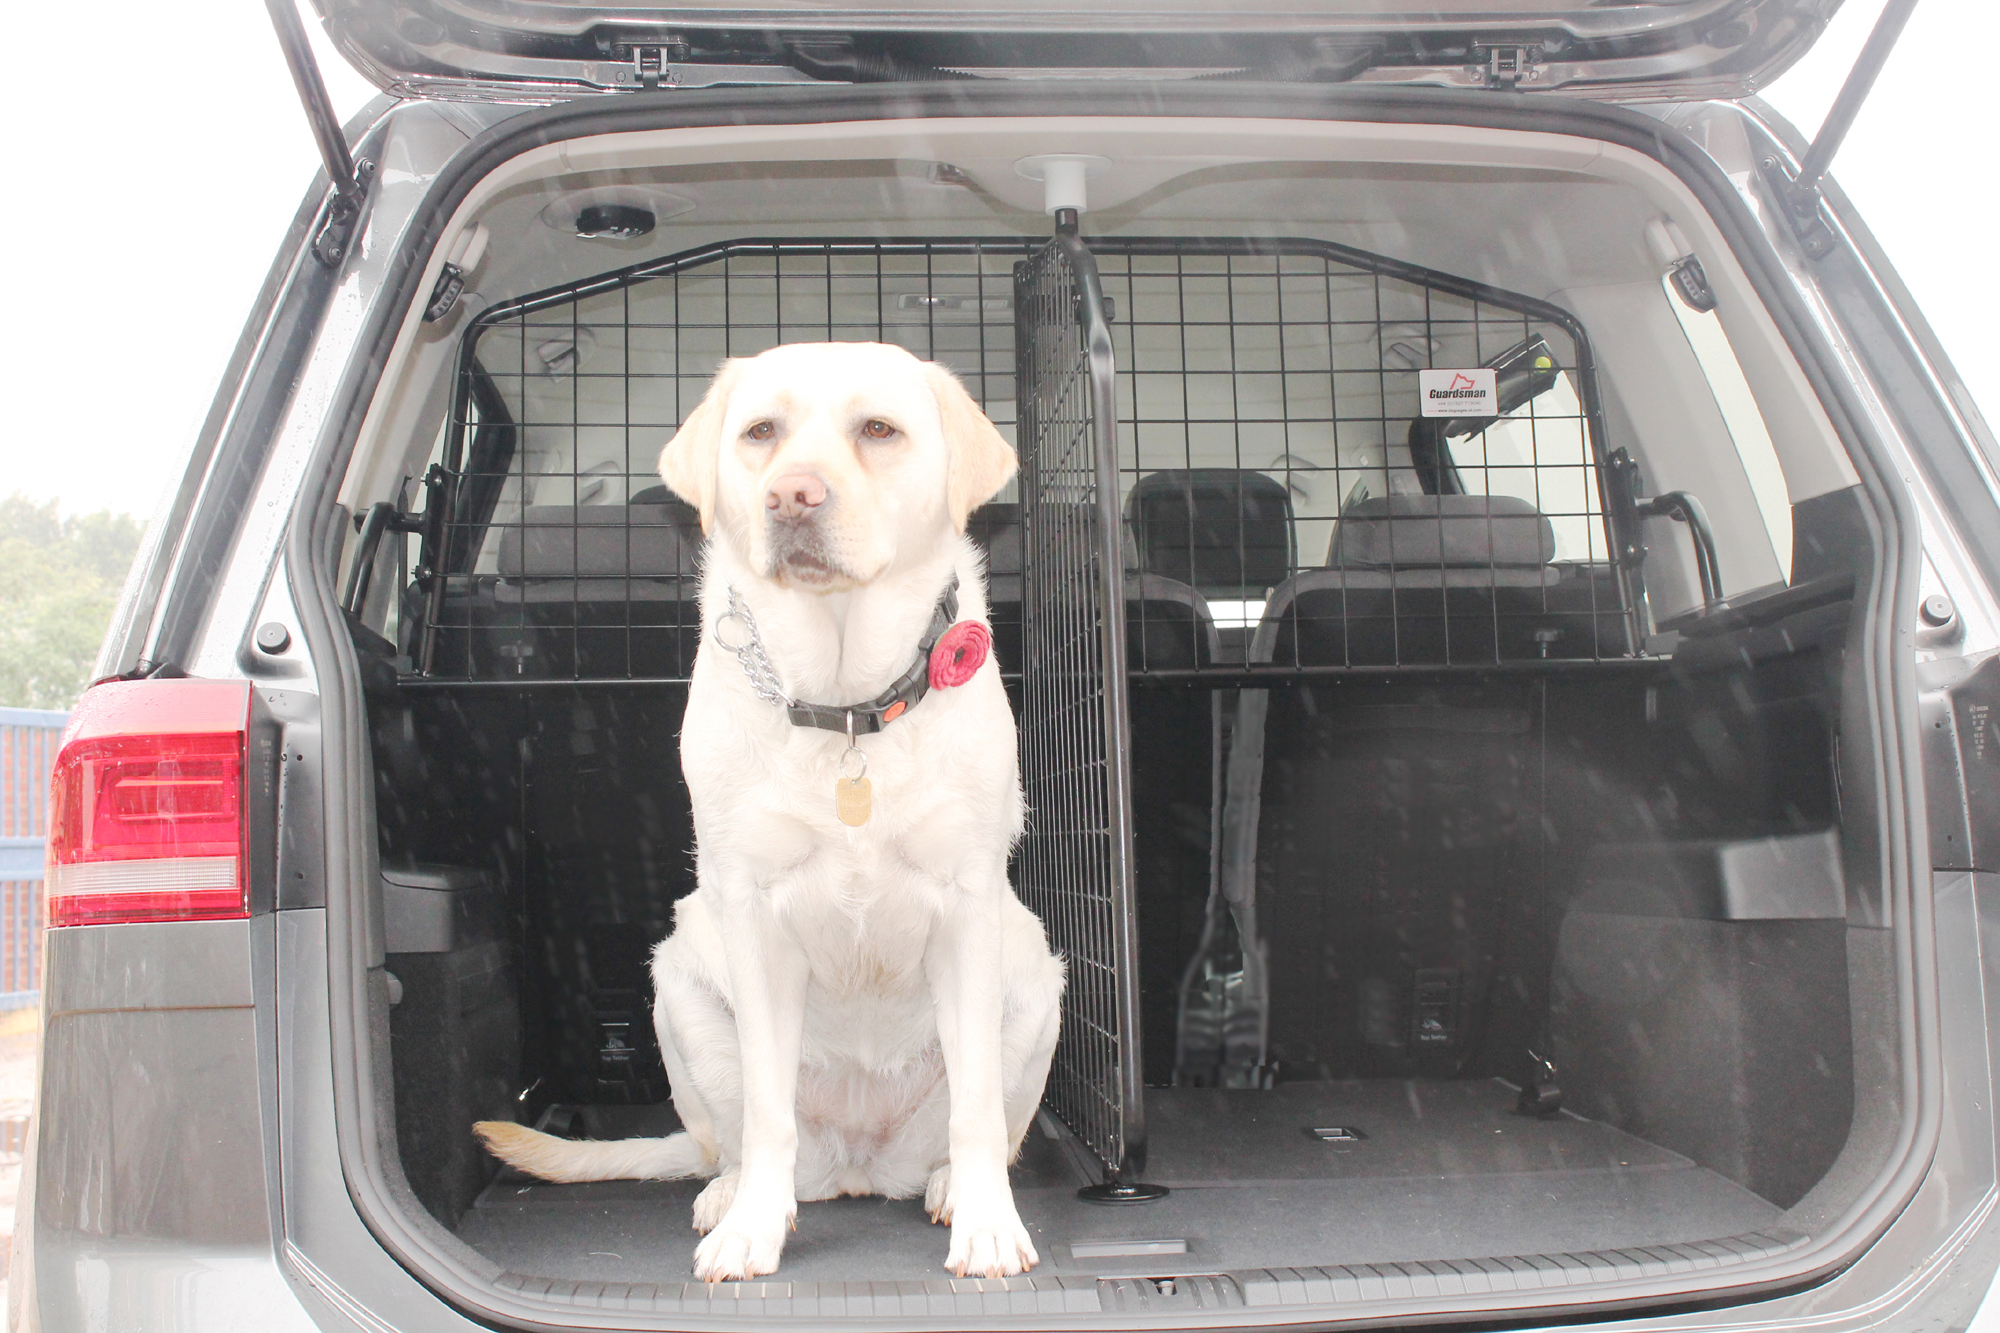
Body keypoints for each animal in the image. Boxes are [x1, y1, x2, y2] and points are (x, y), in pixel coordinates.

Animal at [474, 340, 1064, 1280]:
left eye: (879, 430)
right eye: (760, 432)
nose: (792, 495)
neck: (845, 703)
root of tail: (860, 1165)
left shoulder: (969, 906)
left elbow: (974, 1107)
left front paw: (986, 1226)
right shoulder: (751, 913)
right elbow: (765, 1103)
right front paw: (751, 1229)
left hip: (1036, 979)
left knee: (983, 1128)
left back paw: (945, 1185)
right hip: (678, 982)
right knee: (736, 1137)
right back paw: (732, 1194)